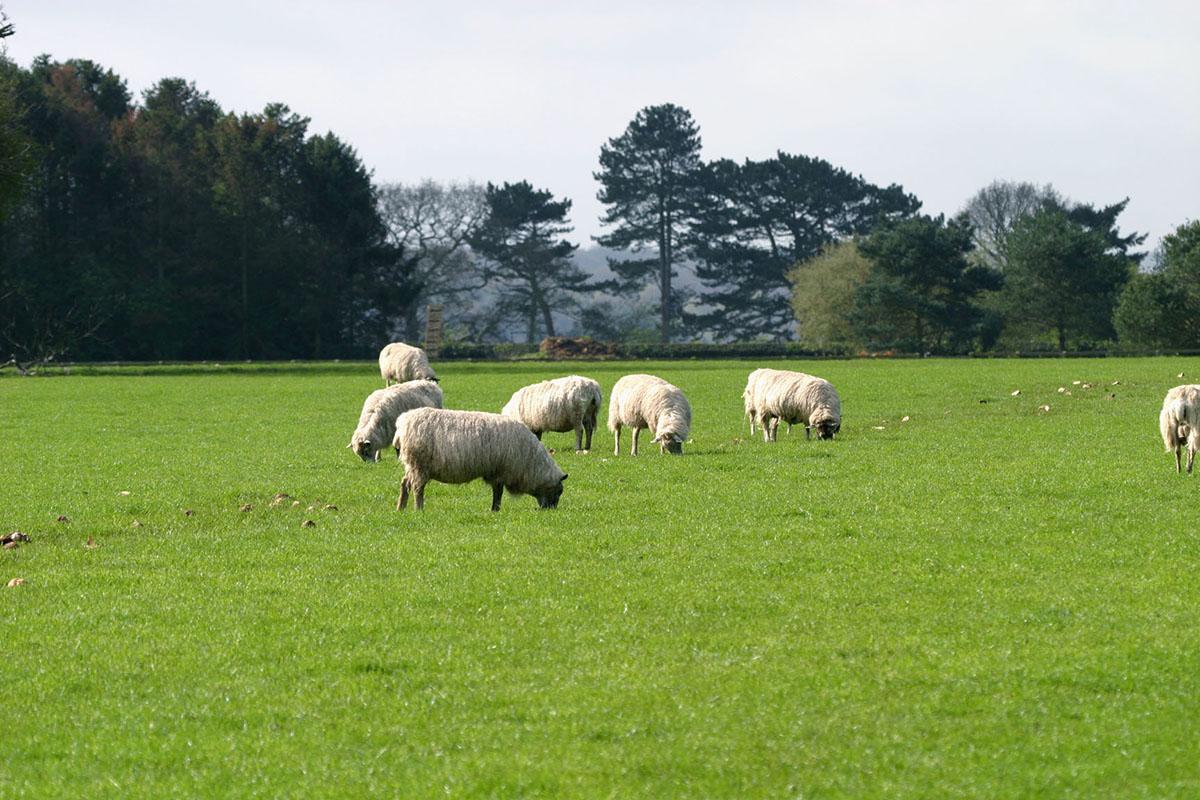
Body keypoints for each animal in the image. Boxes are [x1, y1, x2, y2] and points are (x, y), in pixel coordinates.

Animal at [388, 407, 566, 513]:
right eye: (559, 491)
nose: (551, 511)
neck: (531, 463)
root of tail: (401, 425)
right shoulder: (500, 471)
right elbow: (498, 492)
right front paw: (495, 510)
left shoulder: (495, 472)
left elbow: (497, 492)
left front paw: (494, 510)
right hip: (419, 465)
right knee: (417, 488)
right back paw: (419, 509)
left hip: (411, 465)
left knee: (405, 483)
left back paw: (400, 508)